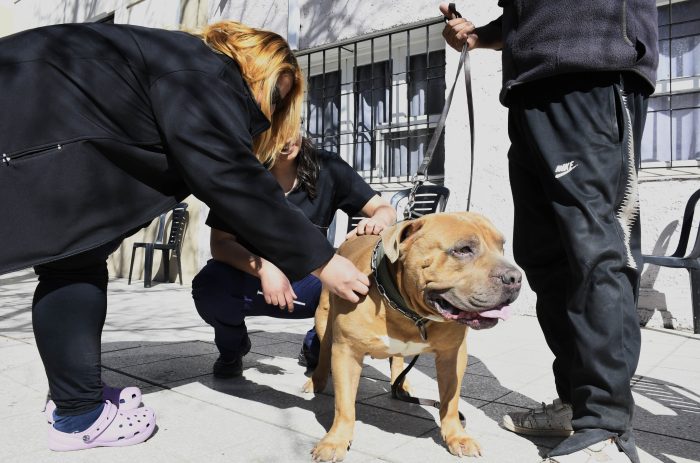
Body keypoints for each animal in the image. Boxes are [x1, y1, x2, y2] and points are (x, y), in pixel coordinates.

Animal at [304, 212, 524, 462]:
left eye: (502, 246)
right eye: (463, 249)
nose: (515, 277)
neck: (407, 311)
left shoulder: (452, 354)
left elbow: (450, 400)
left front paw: (457, 436)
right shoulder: (347, 352)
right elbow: (344, 405)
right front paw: (335, 440)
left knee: (398, 360)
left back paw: (401, 384)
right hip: (324, 321)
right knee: (324, 350)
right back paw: (316, 381)